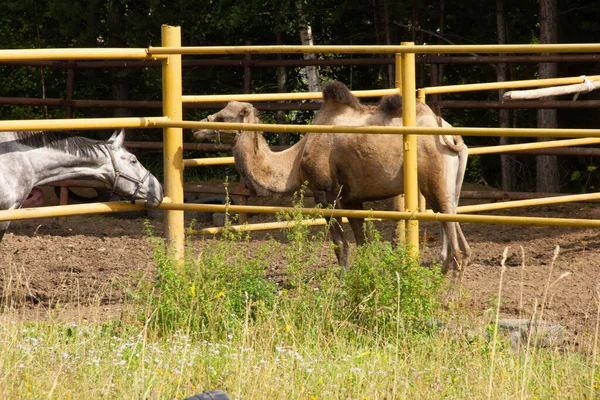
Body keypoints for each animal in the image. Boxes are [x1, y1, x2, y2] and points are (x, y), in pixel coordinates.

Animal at [195, 81, 472, 276]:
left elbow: (340, 244)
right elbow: (363, 242)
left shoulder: (326, 192)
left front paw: (343, 278)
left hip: (434, 178)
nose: (198, 128)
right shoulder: (353, 198)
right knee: (456, 231)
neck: (296, 159)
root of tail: (450, 135)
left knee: (456, 245)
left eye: (223, 117)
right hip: (449, 185)